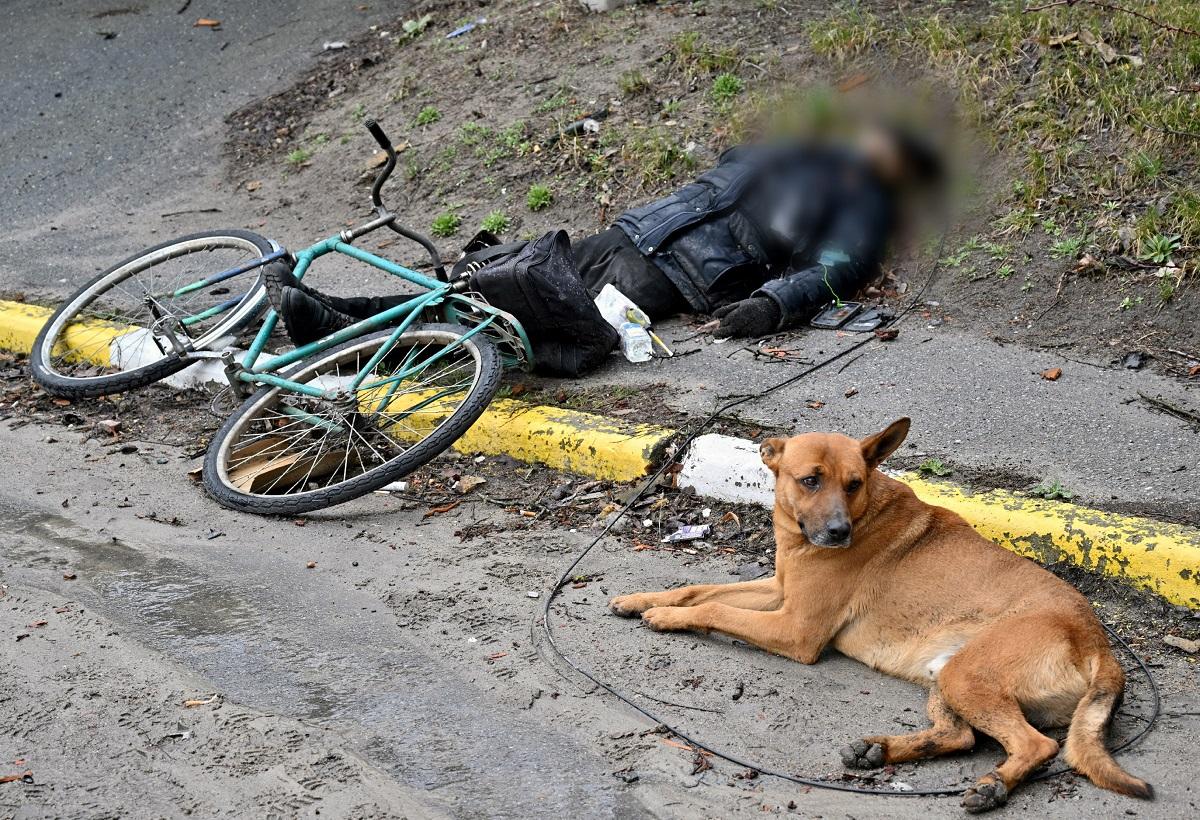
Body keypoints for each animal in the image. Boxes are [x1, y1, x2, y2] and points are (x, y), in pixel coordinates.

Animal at [609, 418, 1151, 813]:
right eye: (810, 480)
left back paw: (993, 785)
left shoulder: (795, 628)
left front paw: (665, 617)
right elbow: (699, 588)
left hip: (967, 674)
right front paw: (642, 599)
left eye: (854, 484)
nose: (838, 533)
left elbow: (714, 606)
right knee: (959, 735)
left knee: (1036, 745)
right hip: (947, 675)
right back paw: (881, 751)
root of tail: (1098, 643)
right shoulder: (778, 592)